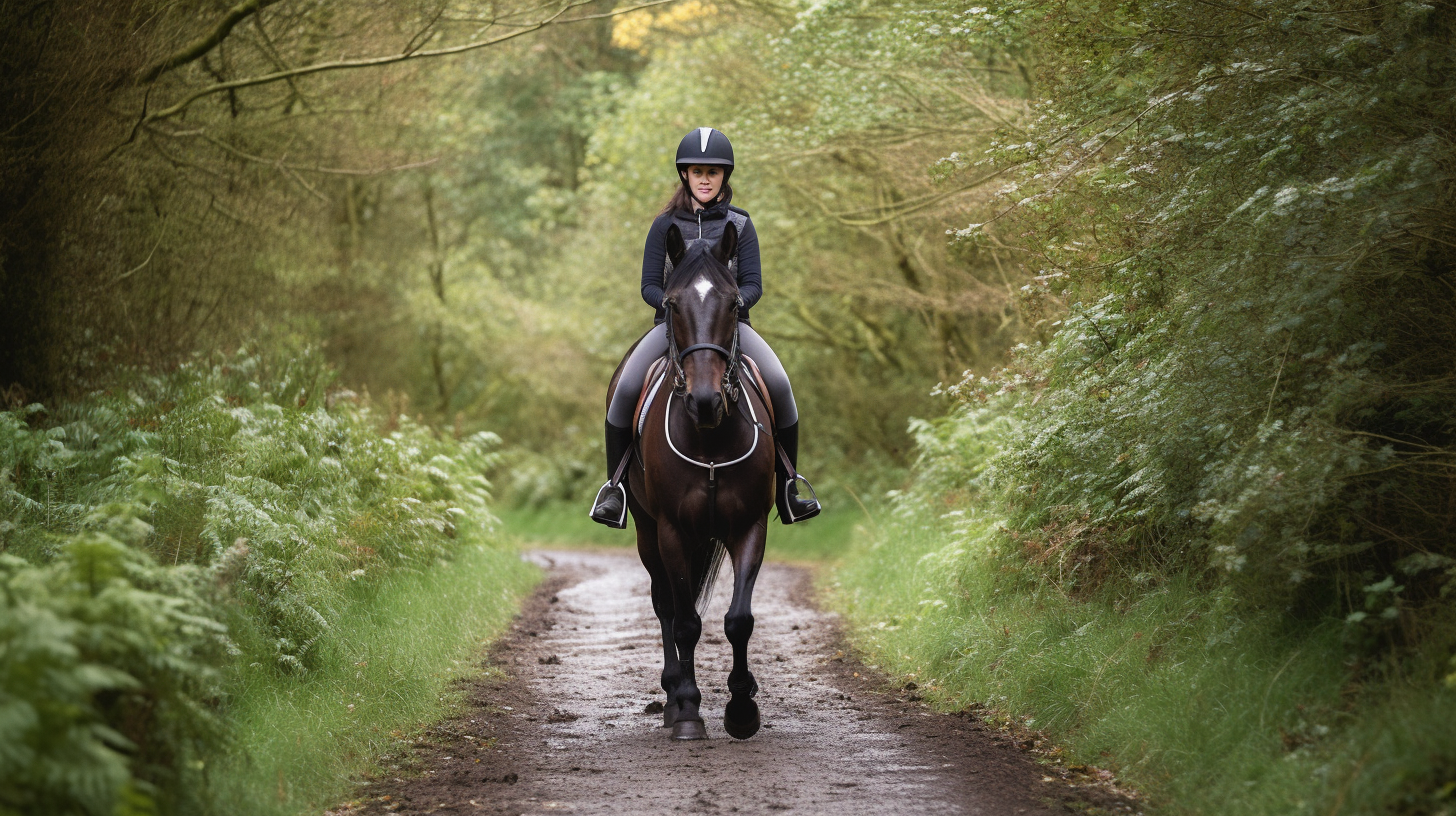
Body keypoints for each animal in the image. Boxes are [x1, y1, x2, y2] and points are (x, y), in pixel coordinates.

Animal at [602, 221, 780, 740]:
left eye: (734, 304)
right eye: (673, 304)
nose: (705, 401)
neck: (709, 435)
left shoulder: (749, 526)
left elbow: (738, 620)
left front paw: (741, 709)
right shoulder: (672, 531)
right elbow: (684, 622)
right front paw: (687, 709)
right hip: (646, 532)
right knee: (666, 605)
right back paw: (671, 696)